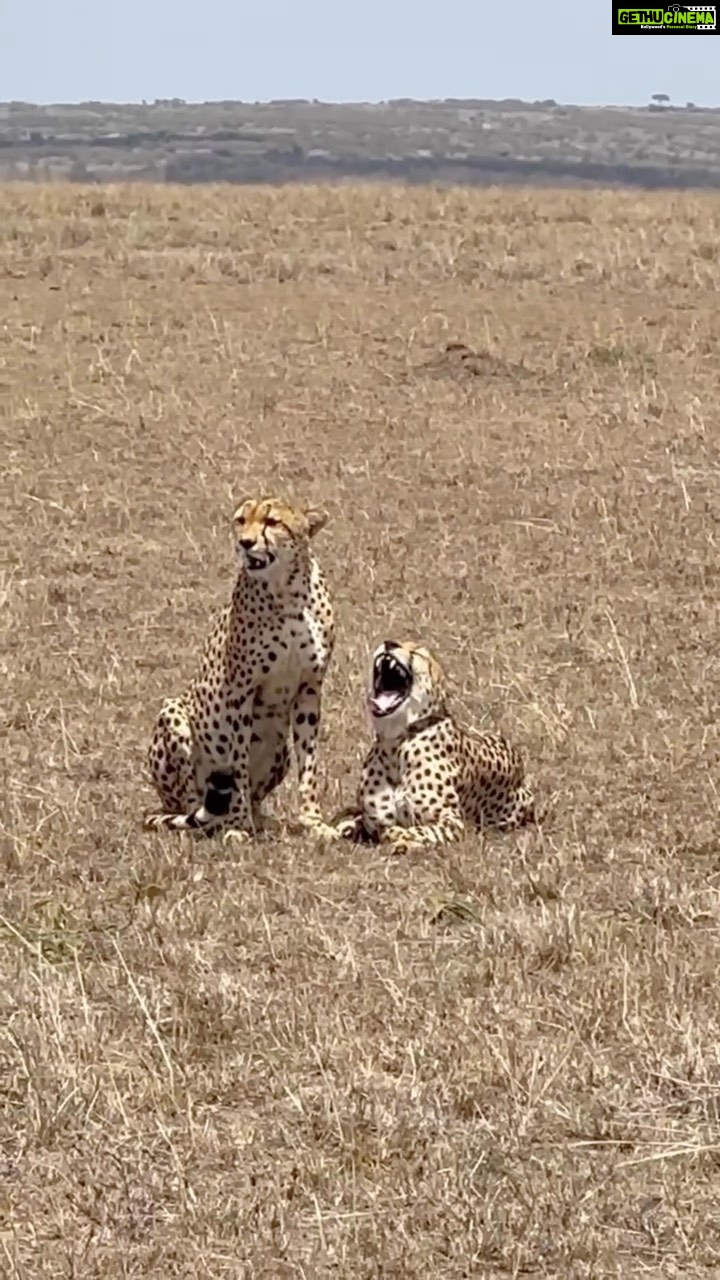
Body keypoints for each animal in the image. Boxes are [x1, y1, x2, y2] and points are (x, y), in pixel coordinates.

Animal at [144, 495, 336, 843]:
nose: (245, 543)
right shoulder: (239, 691)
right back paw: (218, 821)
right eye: (241, 521)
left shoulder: (309, 689)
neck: (288, 591)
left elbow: (309, 764)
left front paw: (312, 821)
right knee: (192, 805)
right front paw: (237, 825)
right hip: (172, 713)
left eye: (272, 522)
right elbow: (238, 764)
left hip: (280, 749)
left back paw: (261, 820)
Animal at [332, 639, 535, 855]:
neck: (396, 744)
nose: (389, 643)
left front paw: (401, 839)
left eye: (417, 653)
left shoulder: (453, 822)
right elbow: (369, 824)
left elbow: (420, 830)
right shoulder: (374, 819)